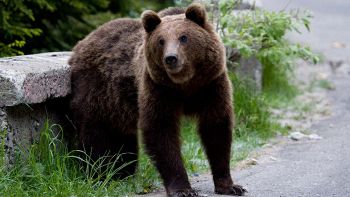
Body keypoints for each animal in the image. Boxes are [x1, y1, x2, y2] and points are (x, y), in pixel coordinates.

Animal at [68, 3, 246, 197]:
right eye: (161, 41)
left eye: (183, 37)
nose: (171, 58)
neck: (186, 84)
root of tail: (81, 43)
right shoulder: (158, 89)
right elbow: (161, 132)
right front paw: (182, 189)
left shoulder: (211, 85)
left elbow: (216, 128)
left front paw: (230, 186)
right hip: (97, 94)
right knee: (96, 138)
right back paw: (98, 173)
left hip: (116, 106)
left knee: (123, 140)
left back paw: (122, 172)